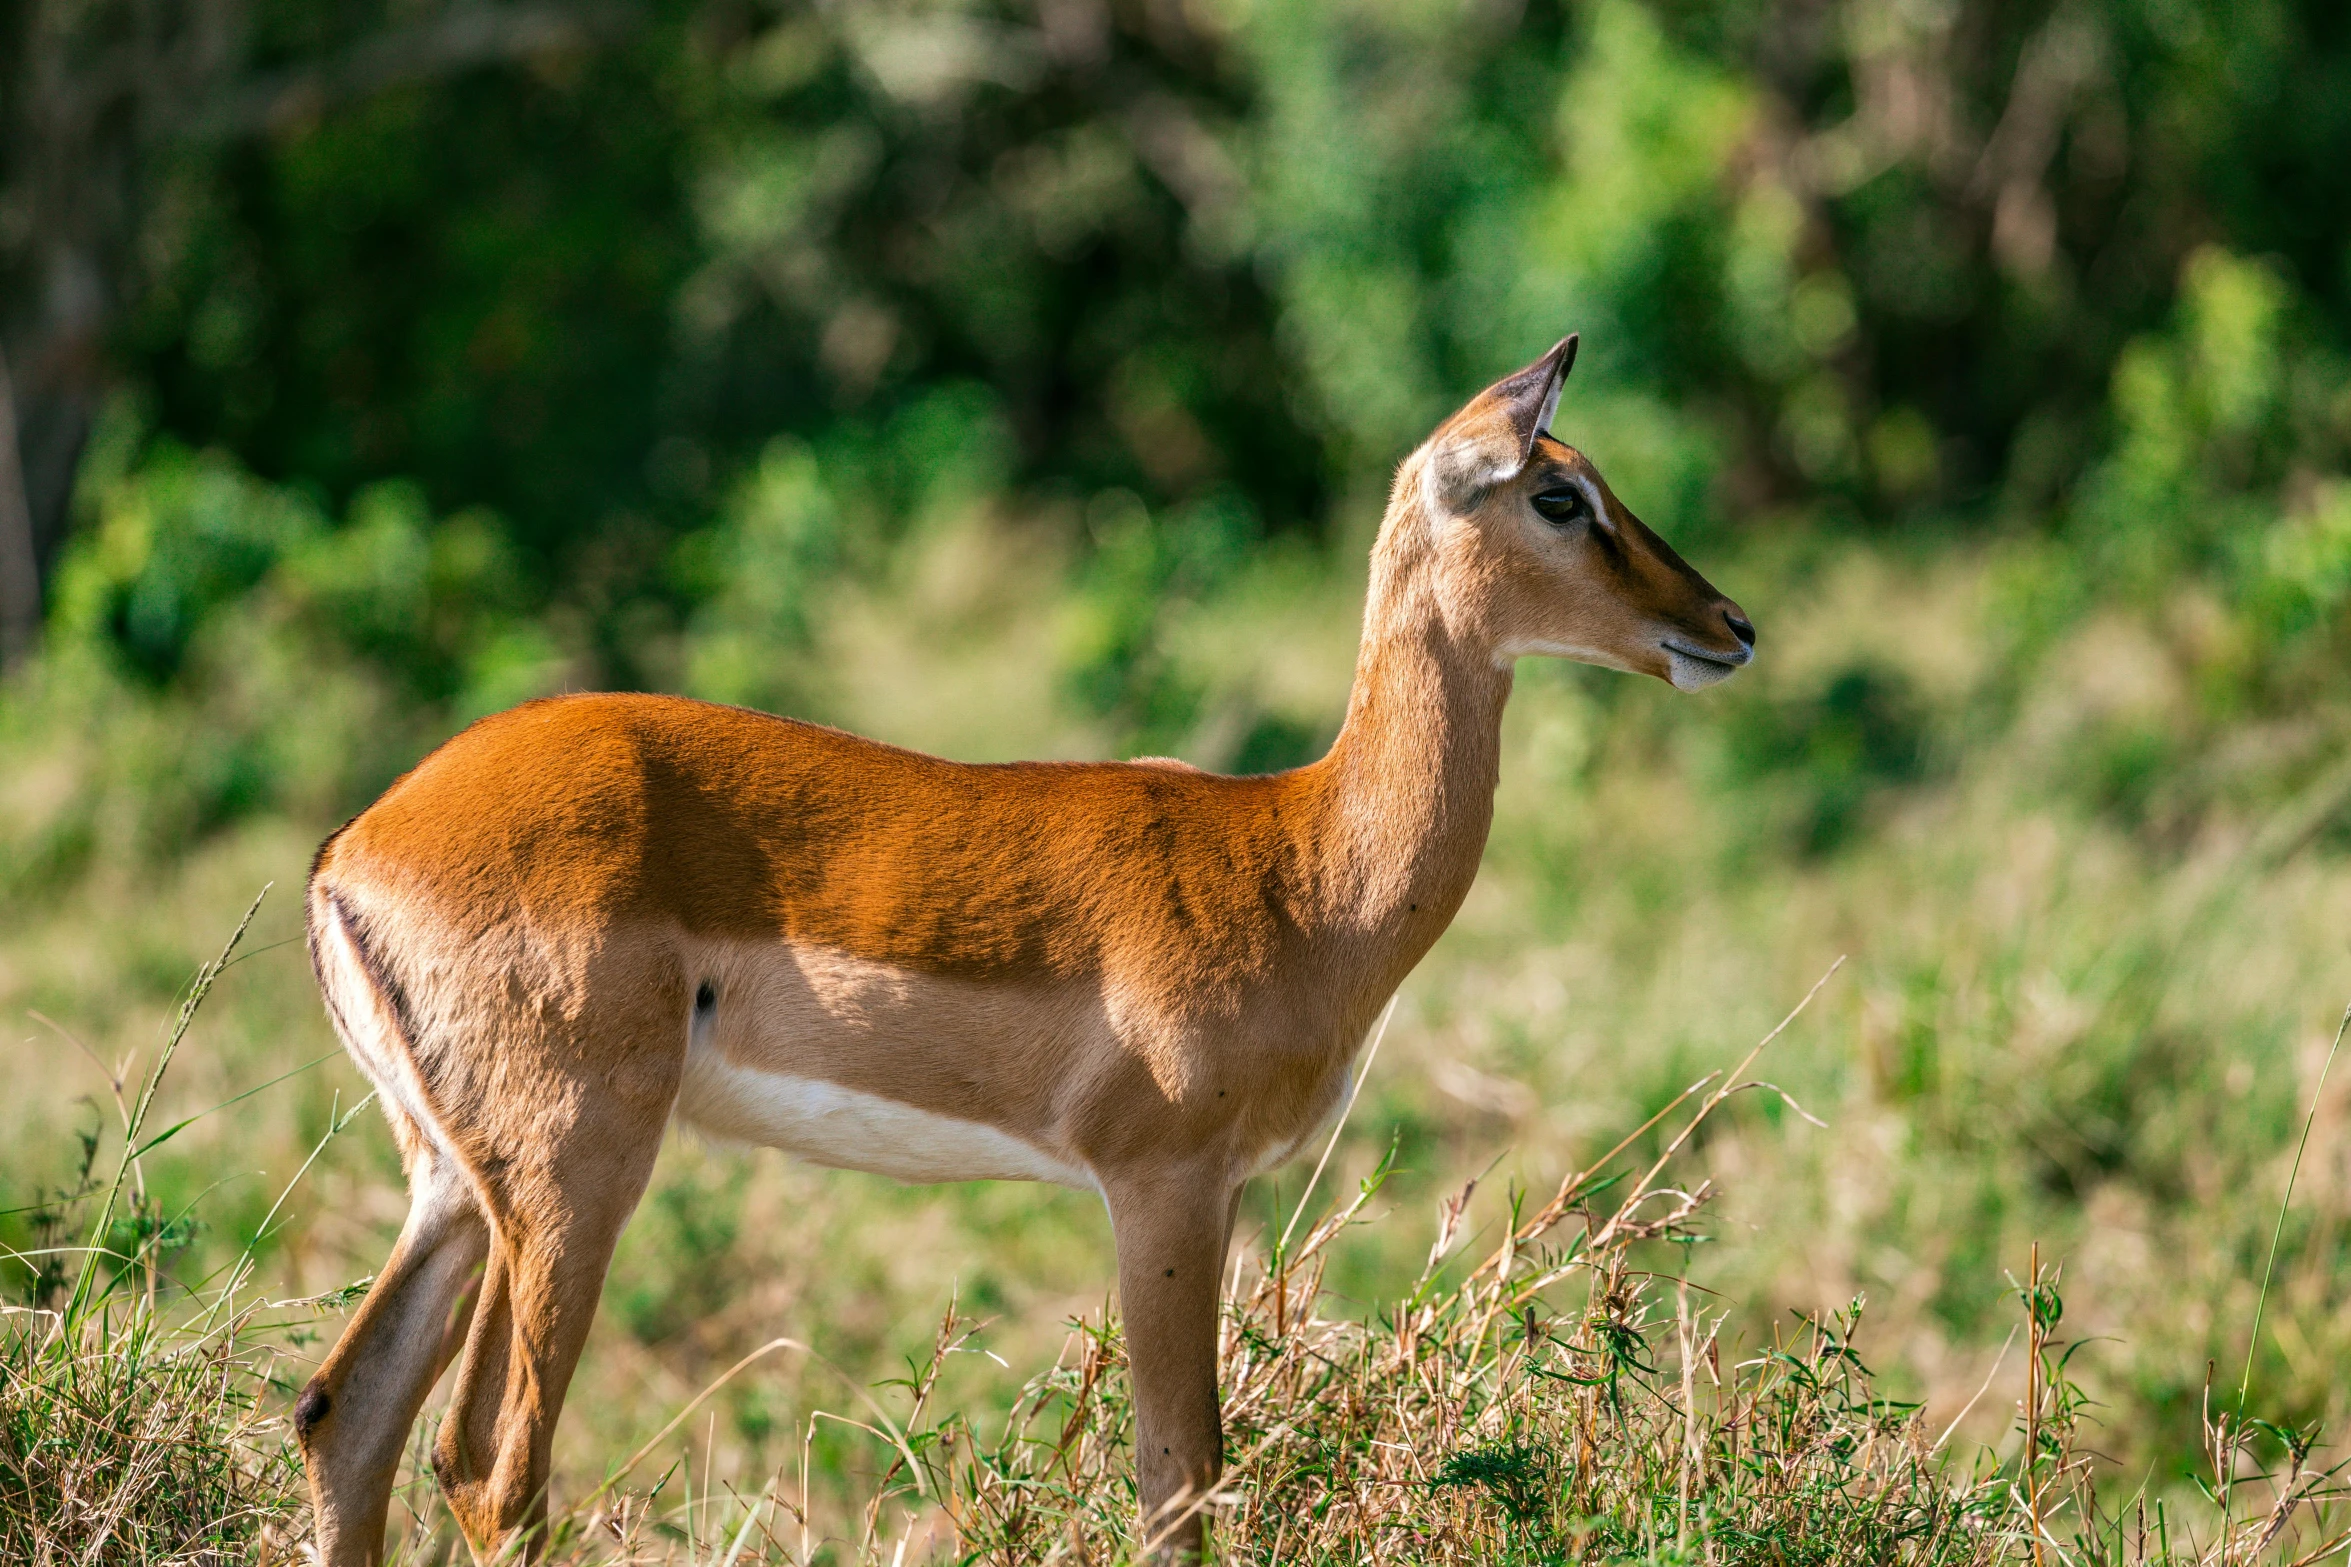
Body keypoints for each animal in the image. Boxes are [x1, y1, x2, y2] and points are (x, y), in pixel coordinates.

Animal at [298, 338, 1749, 1559]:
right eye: (1558, 495)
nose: (1727, 626)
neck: (1298, 863)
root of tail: (356, 846)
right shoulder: (1161, 1181)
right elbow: (1178, 1478)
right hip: (571, 1169)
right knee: (488, 1459)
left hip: (456, 1181)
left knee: (345, 1413)